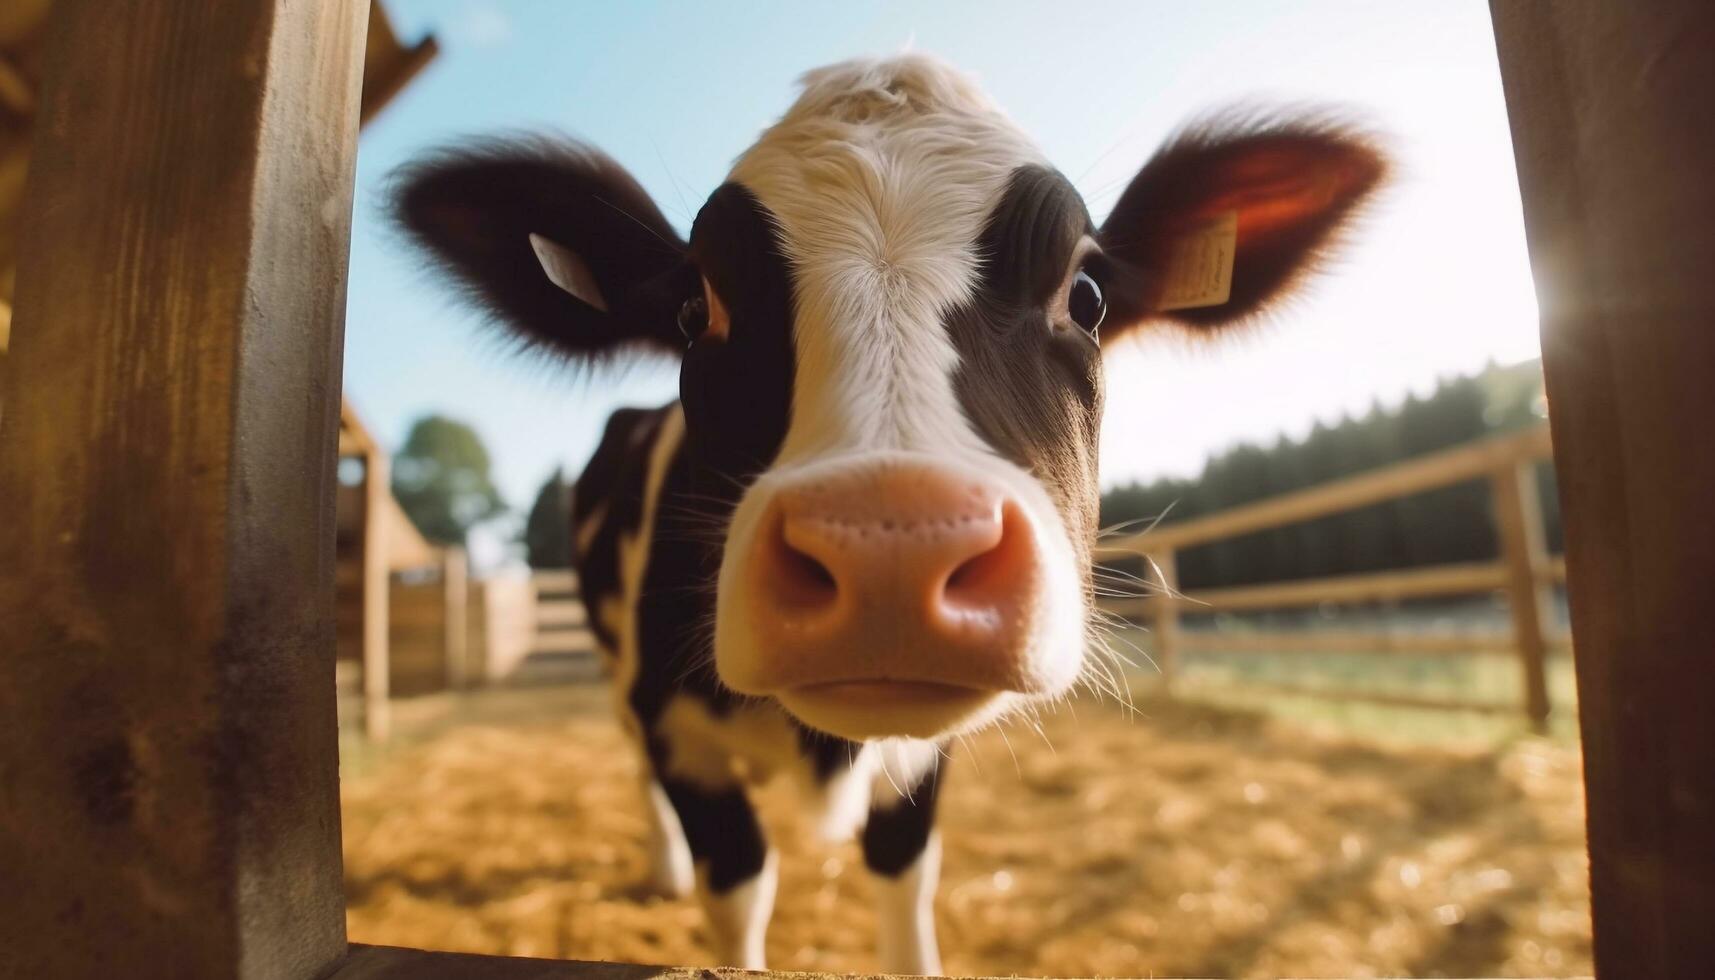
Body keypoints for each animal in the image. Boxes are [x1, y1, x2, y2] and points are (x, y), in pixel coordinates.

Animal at [389, 55, 1378, 974]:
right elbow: (736, 885)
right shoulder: (679, 735)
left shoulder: (925, 762)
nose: (889, 545)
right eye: (694, 307)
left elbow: (904, 867)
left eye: (1087, 295)